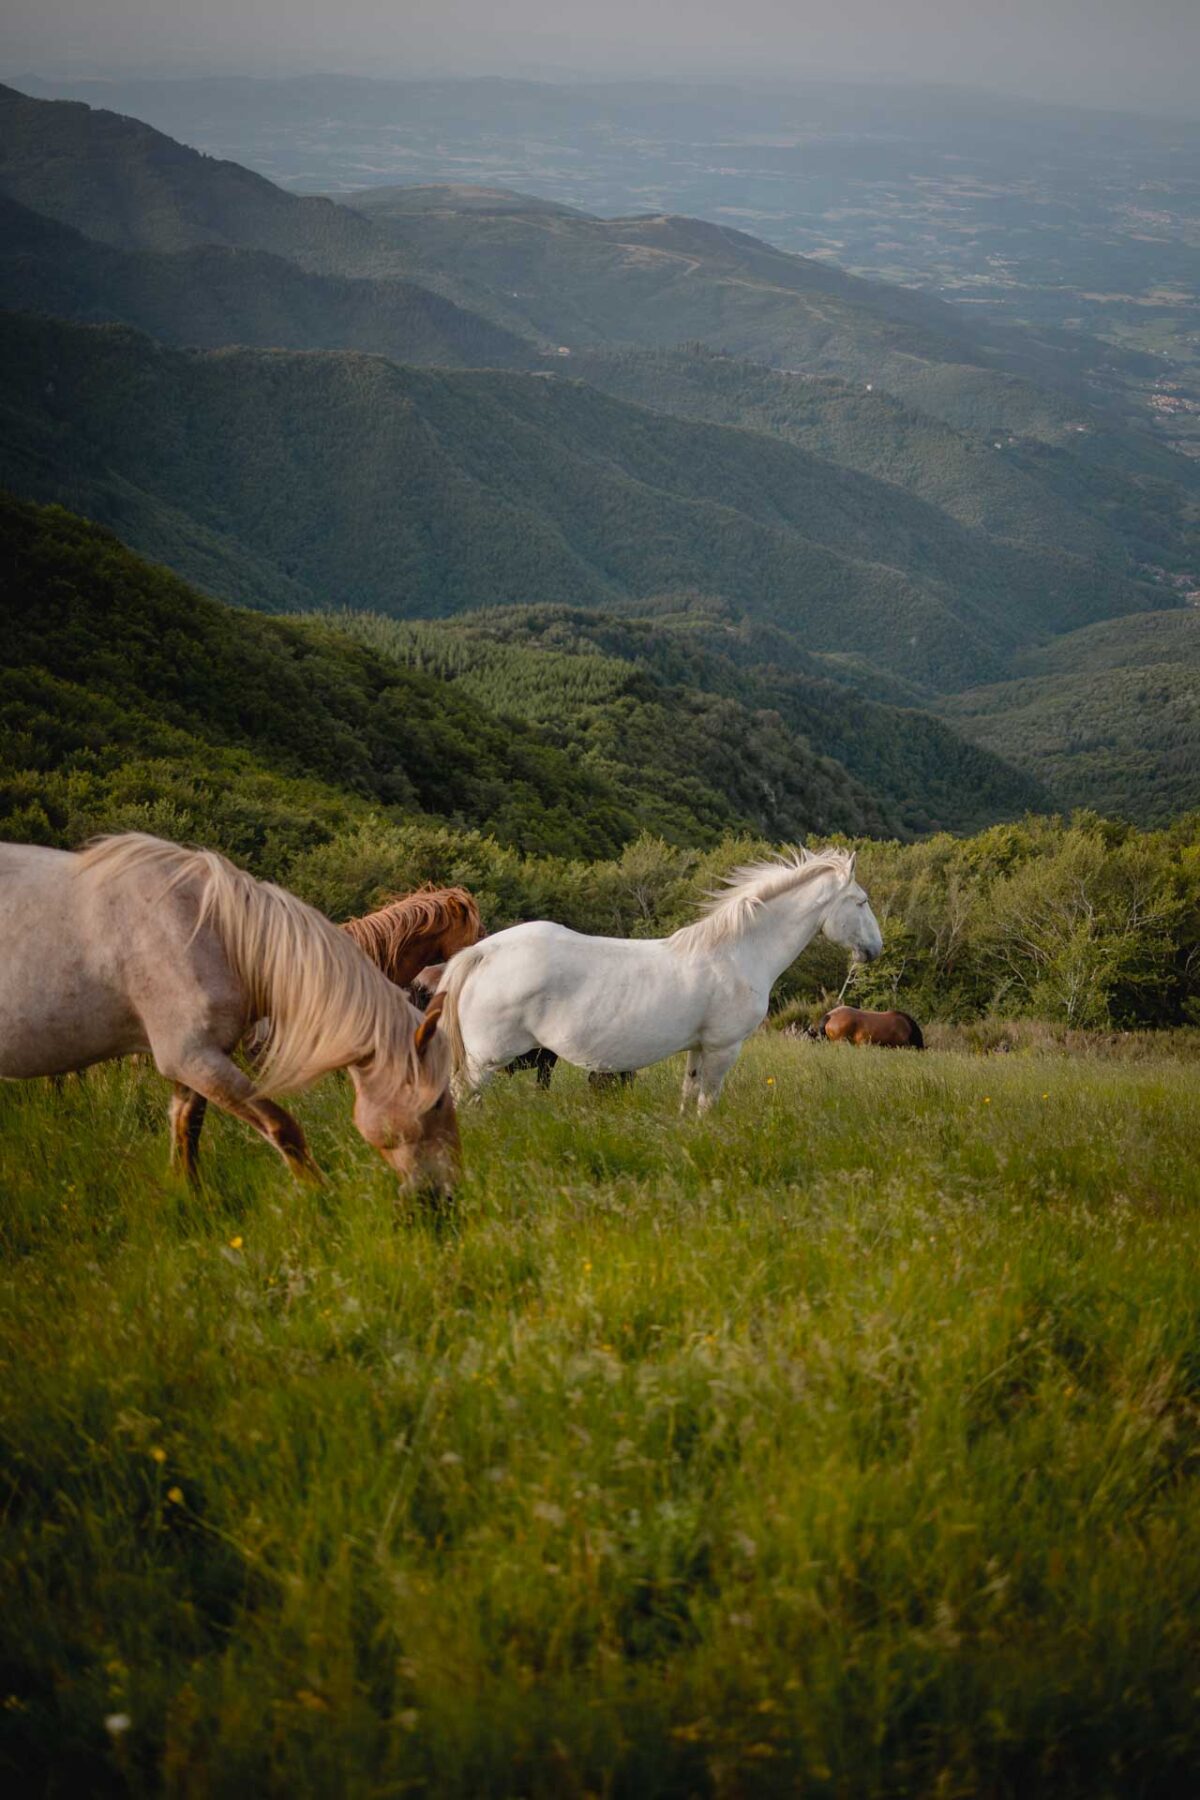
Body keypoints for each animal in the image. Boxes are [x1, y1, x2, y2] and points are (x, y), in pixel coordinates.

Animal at [0, 831, 460, 1195]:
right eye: (437, 1101)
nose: (443, 1193)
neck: (217, 932)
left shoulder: (199, 1061)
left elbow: (186, 1134)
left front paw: (191, 1201)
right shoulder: (192, 1057)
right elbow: (283, 1128)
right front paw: (321, 1200)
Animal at [438, 846, 881, 1108]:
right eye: (861, 901)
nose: (875, 949)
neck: (737, 954)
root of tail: (483, 952)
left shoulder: (698, 1048)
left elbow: (688, 1094)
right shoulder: (723, 1048)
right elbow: (706, 1101)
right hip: (486, 1060)